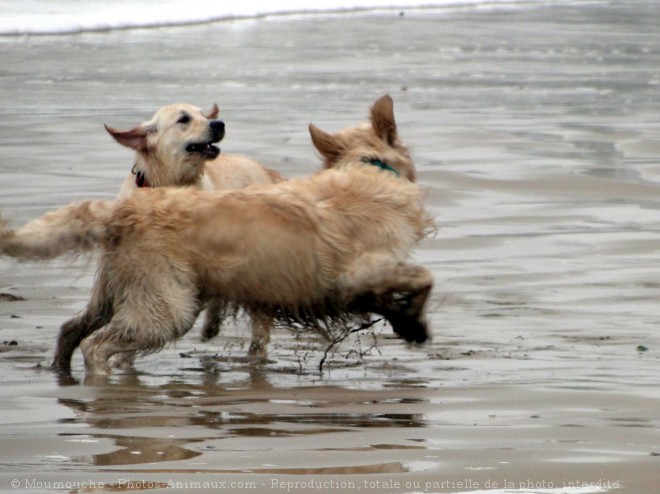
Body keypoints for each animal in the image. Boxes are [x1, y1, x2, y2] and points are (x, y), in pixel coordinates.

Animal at [2, 95, 436, 374]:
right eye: (183, 119)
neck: (372, 169)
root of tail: (125, 209)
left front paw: (403, 320)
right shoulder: (359, 270)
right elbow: (424, 277)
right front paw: (415, 325)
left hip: (118, 292)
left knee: (75, 327)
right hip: (169, 305)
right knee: (98, 345)